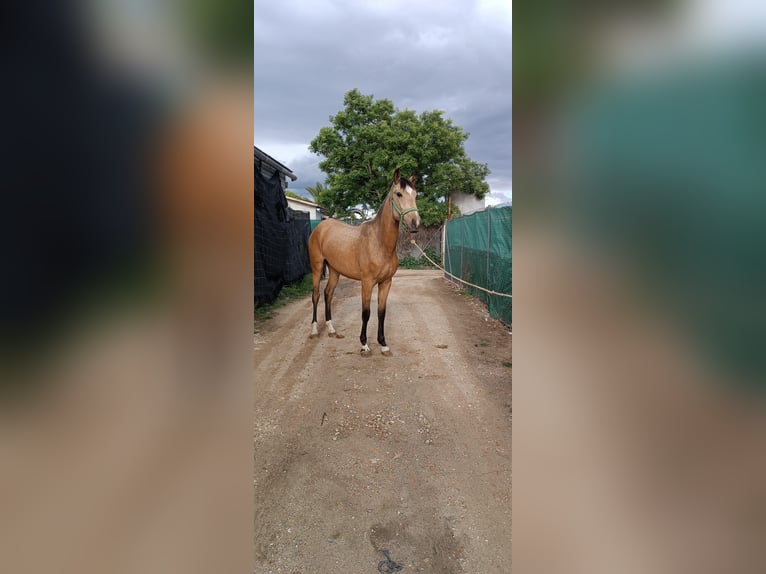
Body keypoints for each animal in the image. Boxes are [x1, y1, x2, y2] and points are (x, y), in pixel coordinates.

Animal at [308, 169, 424, 356]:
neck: (379, 243)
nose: (415, 223)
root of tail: (320, 227)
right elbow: (366, 313)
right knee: (316, 295)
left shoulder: (386, 282)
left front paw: (383, 344)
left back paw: (332, 329)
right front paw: (364, 344)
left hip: (334, 270)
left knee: (328, 294)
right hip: (317, 268)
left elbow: (381, 312)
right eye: (398, 194)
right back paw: (314, 330)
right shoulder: (367, 283)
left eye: (415, 194)